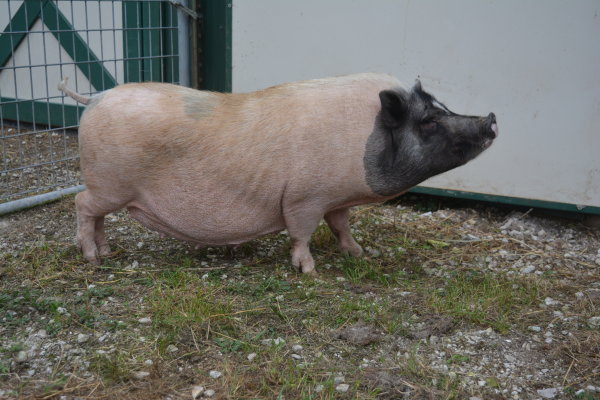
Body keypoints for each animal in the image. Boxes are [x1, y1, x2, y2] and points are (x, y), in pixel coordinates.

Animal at [58, 73, 497, 274]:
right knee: (81, 204)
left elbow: (341, 224)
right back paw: (93, 258)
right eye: (428, 122)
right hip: (108, 184)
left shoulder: (335, 199)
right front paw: (309, 271)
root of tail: (94, 98)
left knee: (96, 215)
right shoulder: (305, 197)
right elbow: (301, 232)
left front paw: (358, 253)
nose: (491, 118)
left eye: (443, 108)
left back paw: (107, 252)